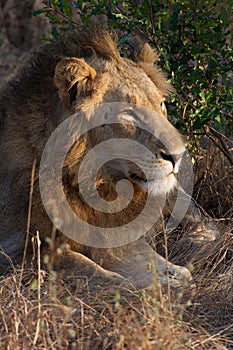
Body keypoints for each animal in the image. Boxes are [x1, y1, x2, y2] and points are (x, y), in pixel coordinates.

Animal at [0, 28, 216, 290]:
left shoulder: (113, 235)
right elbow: (81, 265)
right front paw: (127, 287)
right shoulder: (14, 247)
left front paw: (171, 281)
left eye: (161, 105)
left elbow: (170, 269)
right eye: (128, 114)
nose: (178, 155)